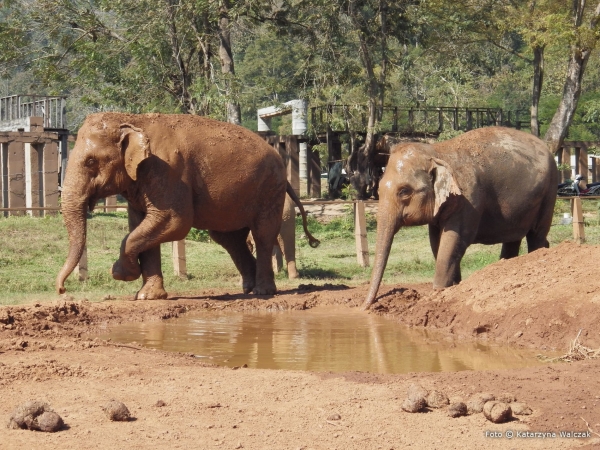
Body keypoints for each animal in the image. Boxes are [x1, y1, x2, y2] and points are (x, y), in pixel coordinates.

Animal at [54, 113, 318, 298]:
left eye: (90, 161)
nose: (62, 290)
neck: (133, 119)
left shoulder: (168, 171)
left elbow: (174, 222)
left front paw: (122, 273)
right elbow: (141, 225)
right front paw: (147, 296)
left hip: (269, 189)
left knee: (262, 234)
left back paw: (263, 291)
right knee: (229, 240)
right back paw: (248, 289)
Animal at [364, 126, 560, 310]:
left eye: (404, 191)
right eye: (379, 188)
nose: (365, 306)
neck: (437, 151)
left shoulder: (469, 199)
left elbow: (454, 240)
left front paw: (439, 291)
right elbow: (437, 243)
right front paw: (453, 285)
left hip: (549, 191)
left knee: (536, 234)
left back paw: (539, 252)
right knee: (514, 238)